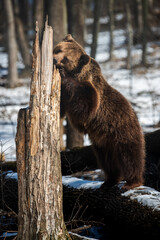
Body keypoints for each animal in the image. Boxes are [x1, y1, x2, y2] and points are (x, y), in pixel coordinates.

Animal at [53, 34, 145, 190]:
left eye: (65, 58)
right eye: (58, 49)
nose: (54, 60)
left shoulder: (91, 92)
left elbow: (85, 108)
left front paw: (63, 74)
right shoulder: (63, 96)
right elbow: (60, 109)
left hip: (123, 129)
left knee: (130, 156)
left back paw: (132, 182)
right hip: (103, 144)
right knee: (108, 163)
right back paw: (109, 181)